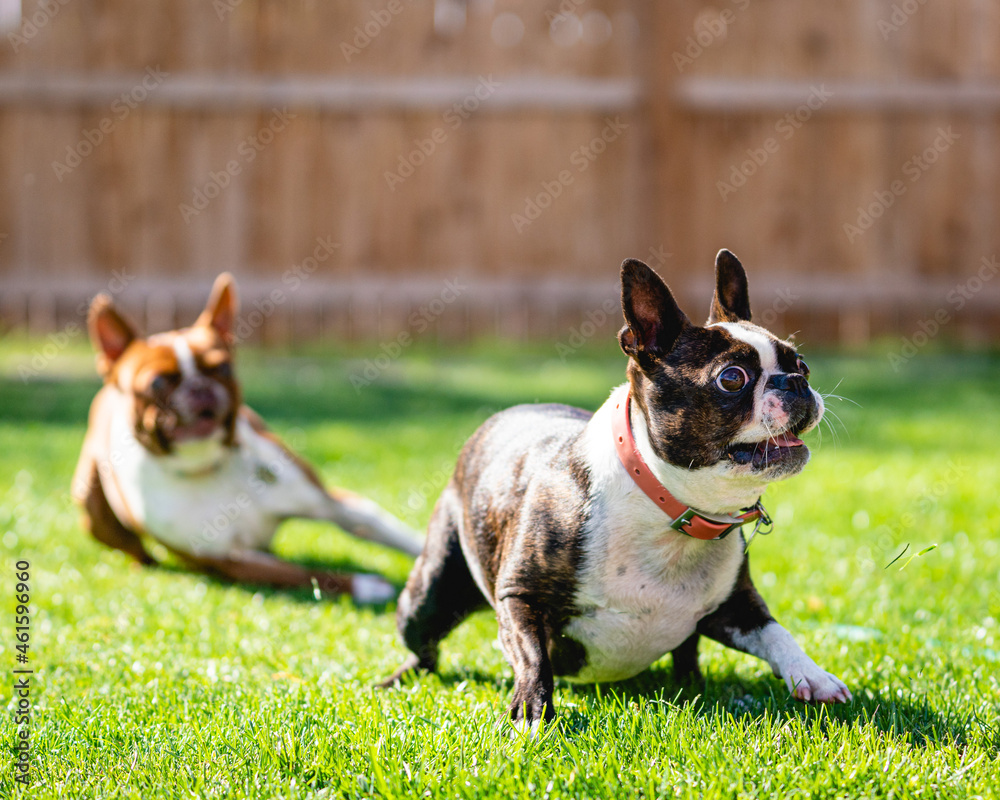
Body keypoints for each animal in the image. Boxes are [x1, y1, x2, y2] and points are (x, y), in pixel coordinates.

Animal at [72, 272, 424, 604]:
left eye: (223, 369)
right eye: (158, 382)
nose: (200, 386)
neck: (206, 467)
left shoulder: (334, 505)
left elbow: (391, 530)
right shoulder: (231, 561)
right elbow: (306, 575)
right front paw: (365, 586)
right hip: (88, 496)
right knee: (134, 547)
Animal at [382, 250, 852, 724]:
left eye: (802, 365)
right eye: (732, 378)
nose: (797, 382)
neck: (667, 511)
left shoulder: (737, 607)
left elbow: (777, 633)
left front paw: (813, 675)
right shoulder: (520, 597)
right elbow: (533, 657)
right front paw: (533, 712)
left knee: (687, 652)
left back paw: (695, 685)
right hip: (428, 595)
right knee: (425, 646)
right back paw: (400, 679)